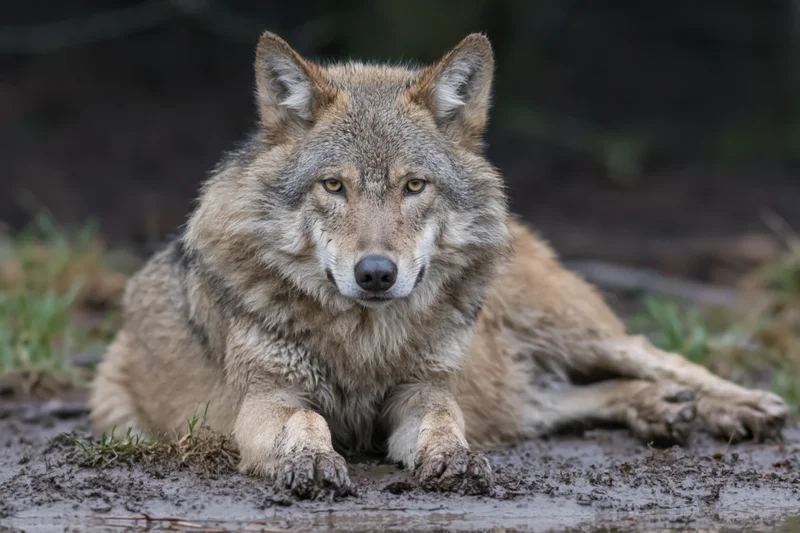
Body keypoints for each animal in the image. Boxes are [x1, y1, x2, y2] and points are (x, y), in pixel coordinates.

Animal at [90, 31, 788, 497]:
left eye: (414, 186)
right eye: (334, 186)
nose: (376, 272)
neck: (364, 344)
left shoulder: (423, 393)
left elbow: (444, 425)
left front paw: (453, 459)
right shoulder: (264, 400)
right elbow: (307, 420)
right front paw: (311, 461)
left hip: (567, 330)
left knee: (651, 354)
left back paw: (742, 407)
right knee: (572, 397)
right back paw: (662, 409)